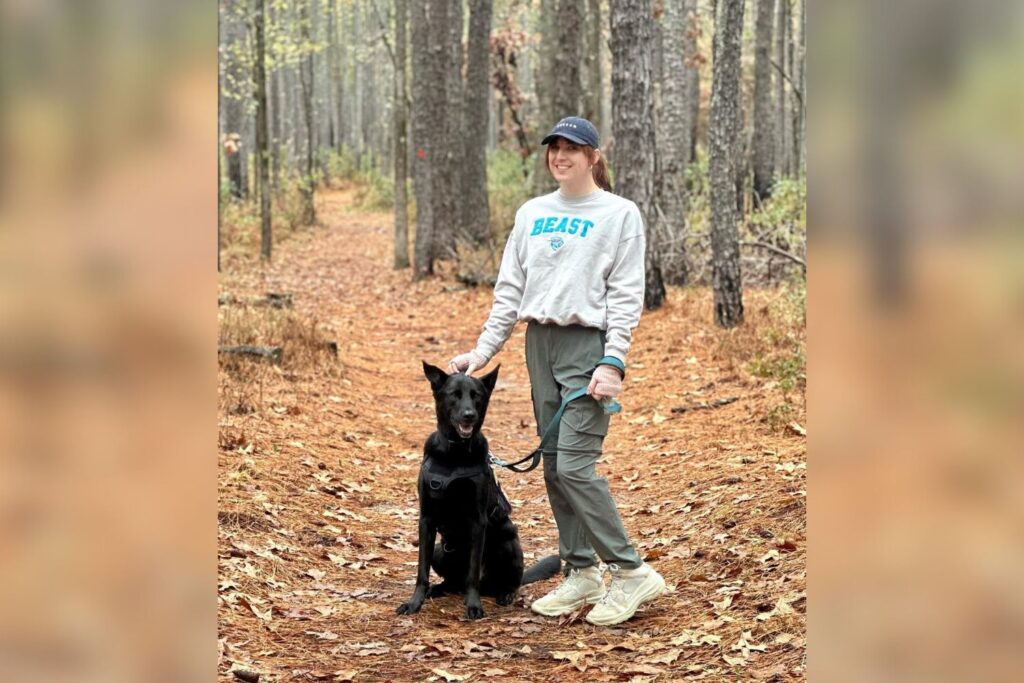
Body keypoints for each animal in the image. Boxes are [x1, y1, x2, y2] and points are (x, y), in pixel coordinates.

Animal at [397, 362, 561, 618]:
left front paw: (473, 606)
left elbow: (473, 572)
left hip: (507, 542)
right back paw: (438, 589)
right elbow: (421, 571)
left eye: (477, 396)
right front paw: (414, 602)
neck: (454, 453)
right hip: (439, 551)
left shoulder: (478, 521)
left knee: (507, 581)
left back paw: (505, 594)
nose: (469, 415)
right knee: (453, 583)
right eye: (454, 395)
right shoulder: (426, 520)